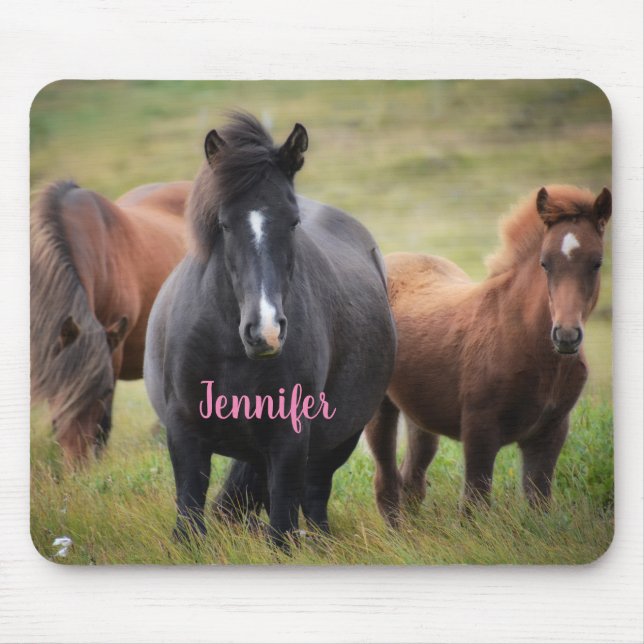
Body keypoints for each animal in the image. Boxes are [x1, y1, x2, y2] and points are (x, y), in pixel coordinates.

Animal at [143, 112, 396, 547]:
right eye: (224, 224)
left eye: (293, 222)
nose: (266, 332)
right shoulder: (184, 430)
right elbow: (189, 516)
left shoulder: (289, 438)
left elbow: (281, 526)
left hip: (338, 440)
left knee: (314, 497)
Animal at [365, 185, 611, 525]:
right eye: (545, 263)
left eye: (597, 262)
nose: (566, 336)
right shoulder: (479, 430)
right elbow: (474, 505)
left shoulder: (551, 432)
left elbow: (539, 502)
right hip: (380, 407)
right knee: (386, 481)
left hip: (420, 412)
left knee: (411, 479)